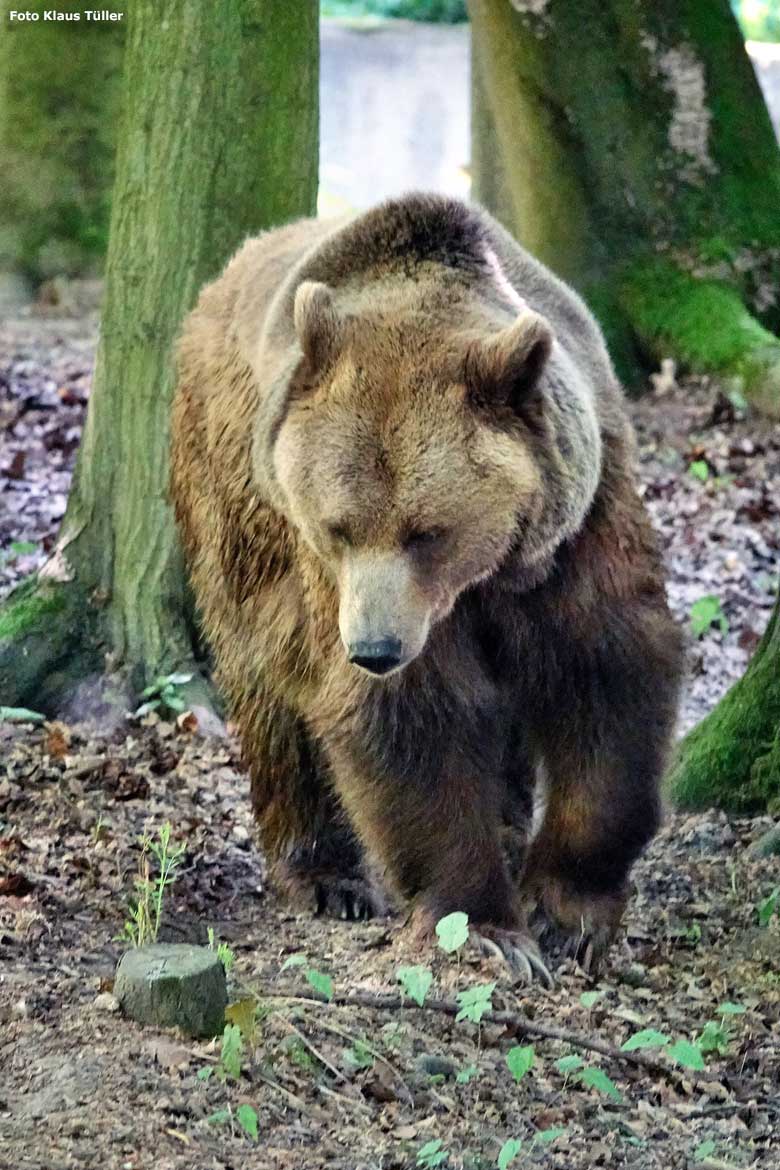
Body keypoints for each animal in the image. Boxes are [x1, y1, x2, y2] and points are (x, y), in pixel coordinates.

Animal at [171, 191, 682, 978]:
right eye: (339, 527)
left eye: (427, 530)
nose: (375, 649)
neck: (483, 579)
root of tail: (218, 282)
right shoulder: (337, 581)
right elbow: (411, 718)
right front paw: (488, 928)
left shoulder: (575, 524)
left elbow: (604, 667)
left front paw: (566, 912)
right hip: (229, 497)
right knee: (268, 684)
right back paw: (327, 874)